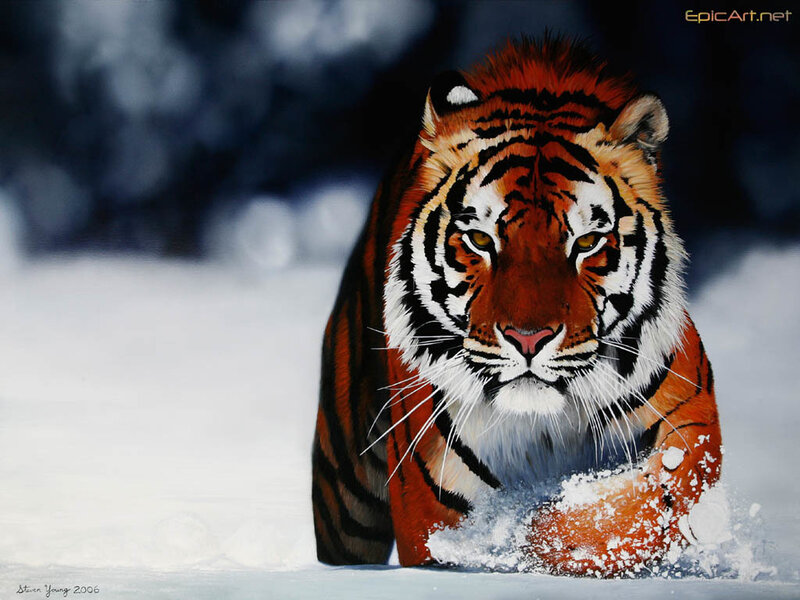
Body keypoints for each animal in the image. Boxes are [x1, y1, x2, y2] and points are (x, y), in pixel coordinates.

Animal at [311, 36, 721, 577]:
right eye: (481, 240)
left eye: (587, 242)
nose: (529, 340)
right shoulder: (432, 499)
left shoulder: (690, 417)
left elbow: (642, 504)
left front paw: (534, 534)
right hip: (345, 494)